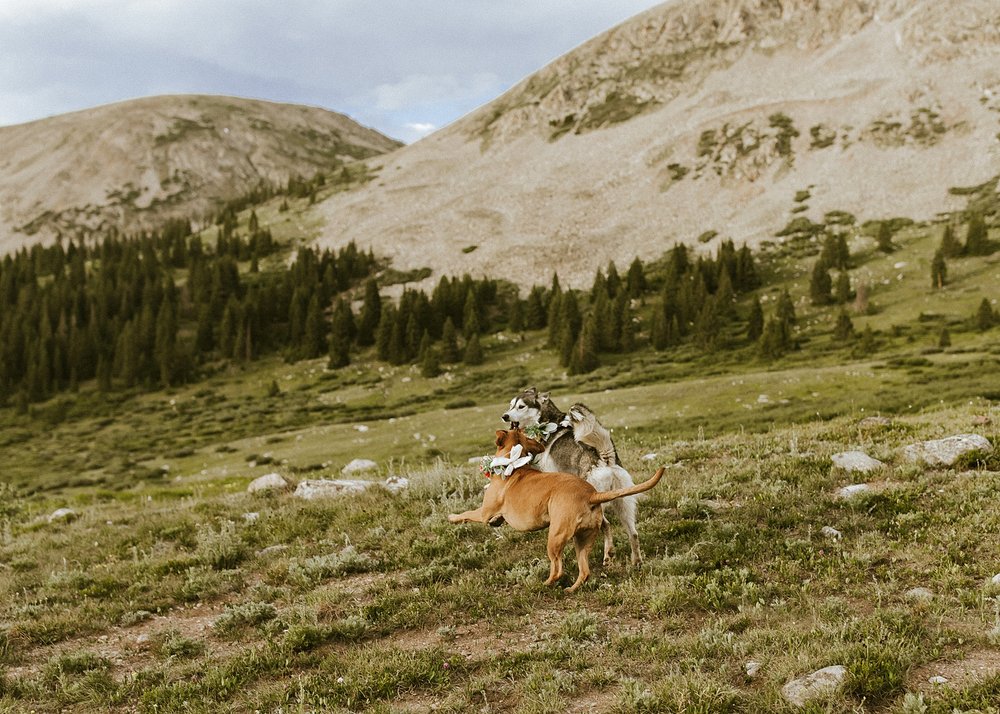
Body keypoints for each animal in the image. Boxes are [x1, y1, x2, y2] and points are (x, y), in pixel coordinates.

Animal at [450, 428, 660, 588]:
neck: (514, 464)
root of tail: (591, 494)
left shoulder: (484, 512)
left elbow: (467, 513)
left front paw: (452, 517)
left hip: (555, 538)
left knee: (558, 568)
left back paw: (542, 585)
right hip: (582, 540)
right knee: (585, 571)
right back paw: (572, 588)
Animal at [504, 386, 644, 564]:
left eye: (521, 406)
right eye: (511, 405)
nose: (504, 416)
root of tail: (603, 457)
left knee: (606, 525)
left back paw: (607, 555)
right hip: (623, 502)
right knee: (633, 533)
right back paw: (636, 561)